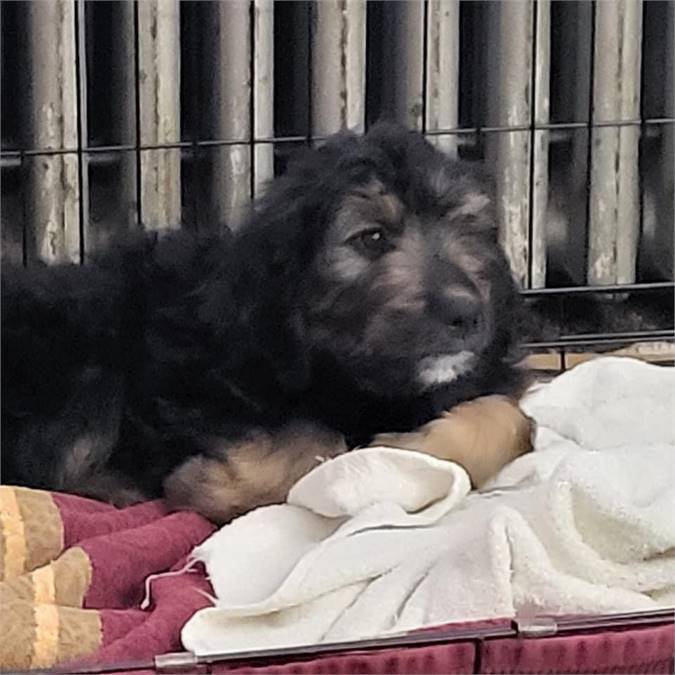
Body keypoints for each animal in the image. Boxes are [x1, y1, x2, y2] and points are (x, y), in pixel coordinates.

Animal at [1, 123, 528, 524]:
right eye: (372, 237)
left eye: (469, 230)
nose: (467, 313)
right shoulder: (183, 392)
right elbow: (318, 440)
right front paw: (208, 485)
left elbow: (511, 418)